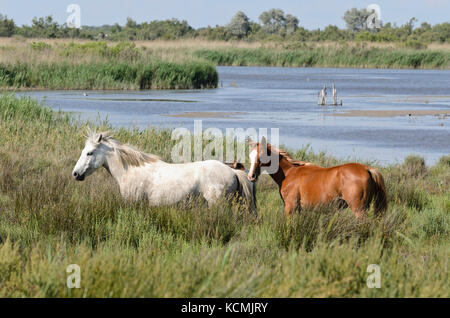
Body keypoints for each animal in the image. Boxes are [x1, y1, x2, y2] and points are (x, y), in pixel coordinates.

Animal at [246, 137, 386, 219]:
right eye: (250, 156)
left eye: (261, 156)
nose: (251, 176)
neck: (290, 173)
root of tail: (367, 169)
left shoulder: (290, 207)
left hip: (358, 210)